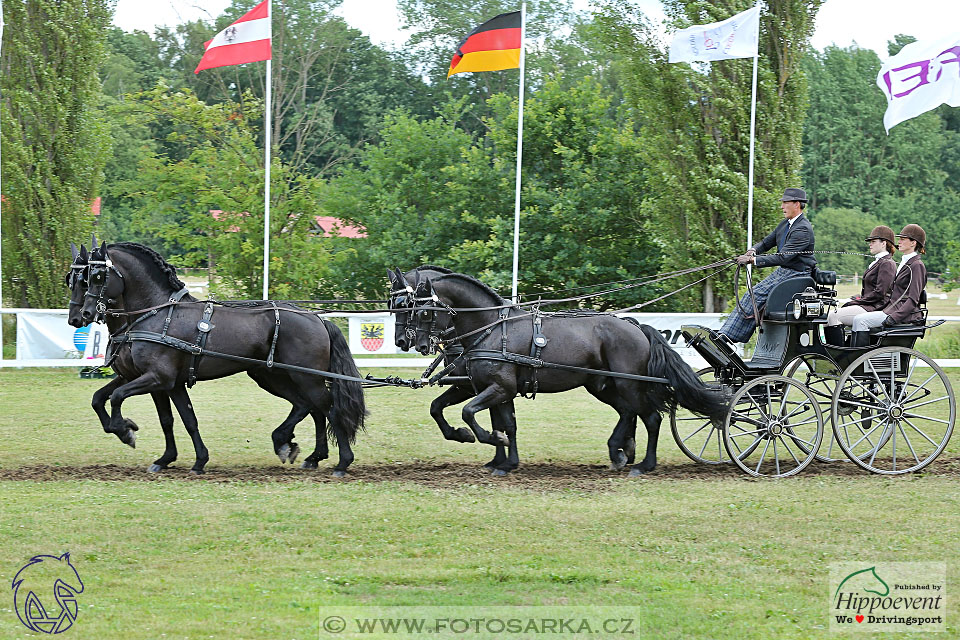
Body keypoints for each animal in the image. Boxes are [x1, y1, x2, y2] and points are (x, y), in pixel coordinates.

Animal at [75, 242, 366, 472]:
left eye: (97, 276)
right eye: (79, 278)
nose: (84, 315)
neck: (158, 313)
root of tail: (316, 318)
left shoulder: (157, 378)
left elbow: (117, 397)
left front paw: (125, 430)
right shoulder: (164, 382)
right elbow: (176, 419)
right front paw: (178, 459)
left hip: (305, 377)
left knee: (328, 409)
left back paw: (341, 462)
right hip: (273, 376)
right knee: (309, 407)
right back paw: (300, 450)